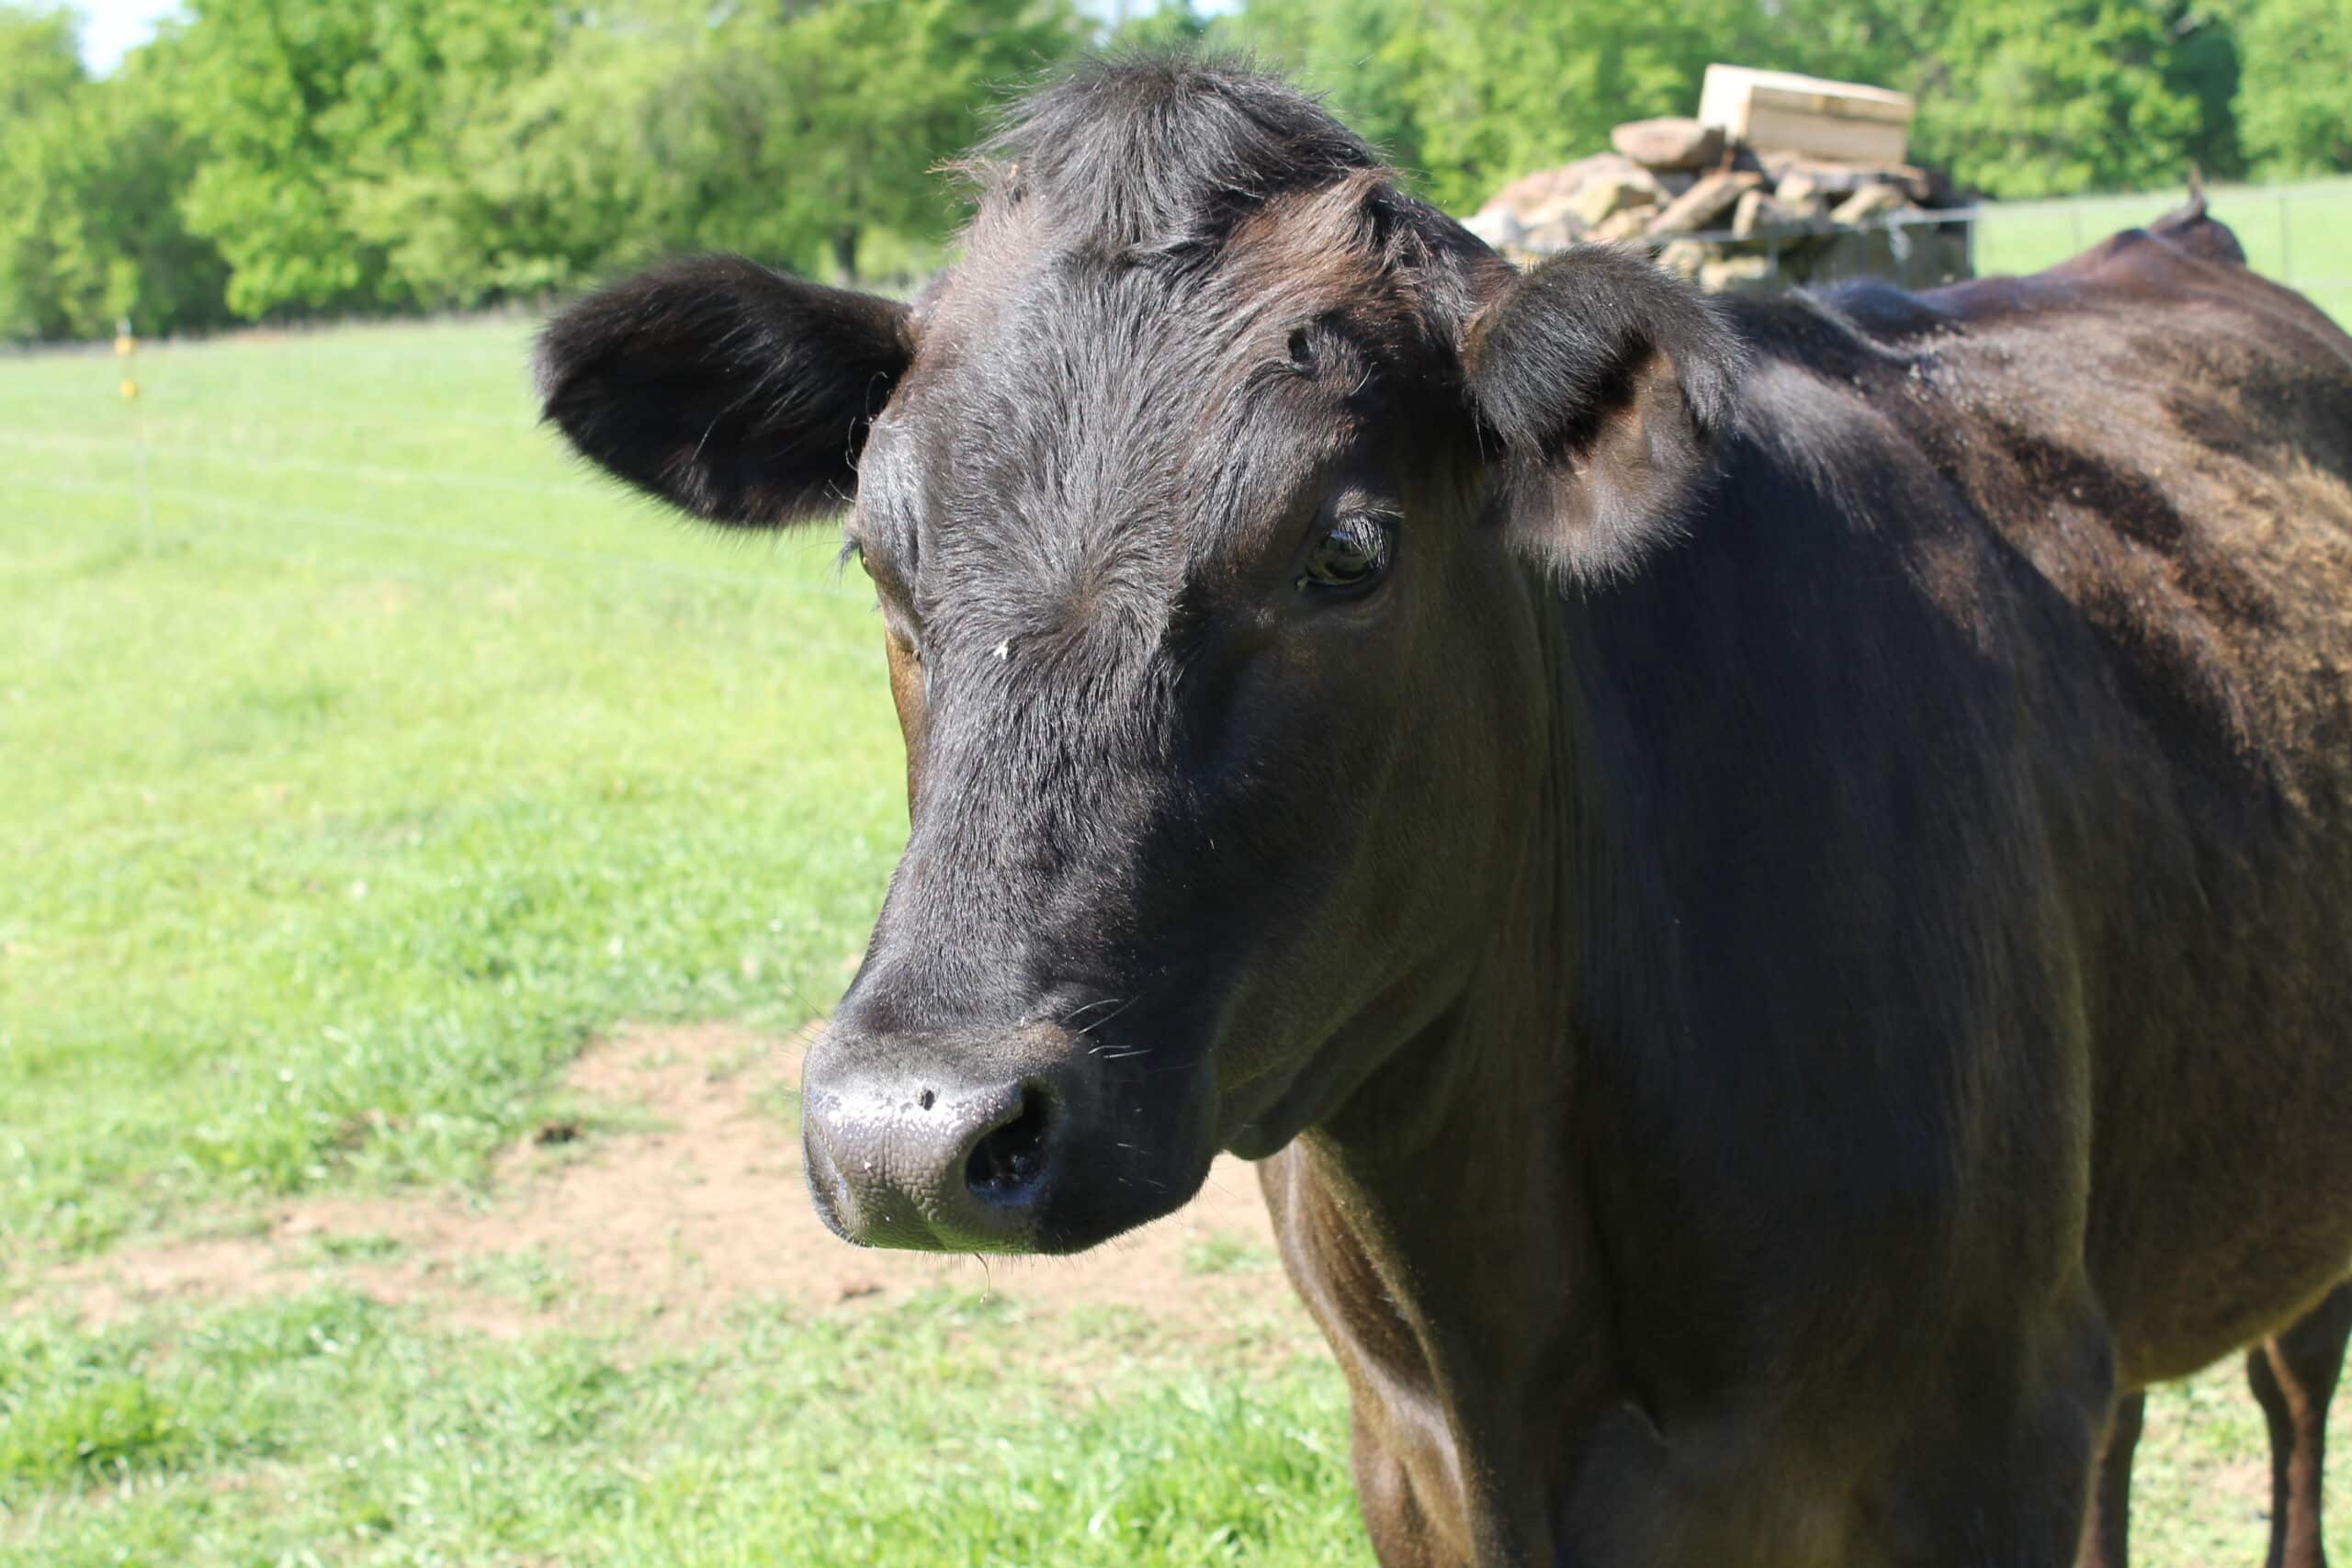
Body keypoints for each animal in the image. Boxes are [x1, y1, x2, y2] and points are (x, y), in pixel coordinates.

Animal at [534, 55, 2352, 1568]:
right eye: (873, 552)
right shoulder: (1400, 1454)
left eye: (1347, 547)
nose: (909, 1134)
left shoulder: (1985, 1427)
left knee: (2291, 1400)